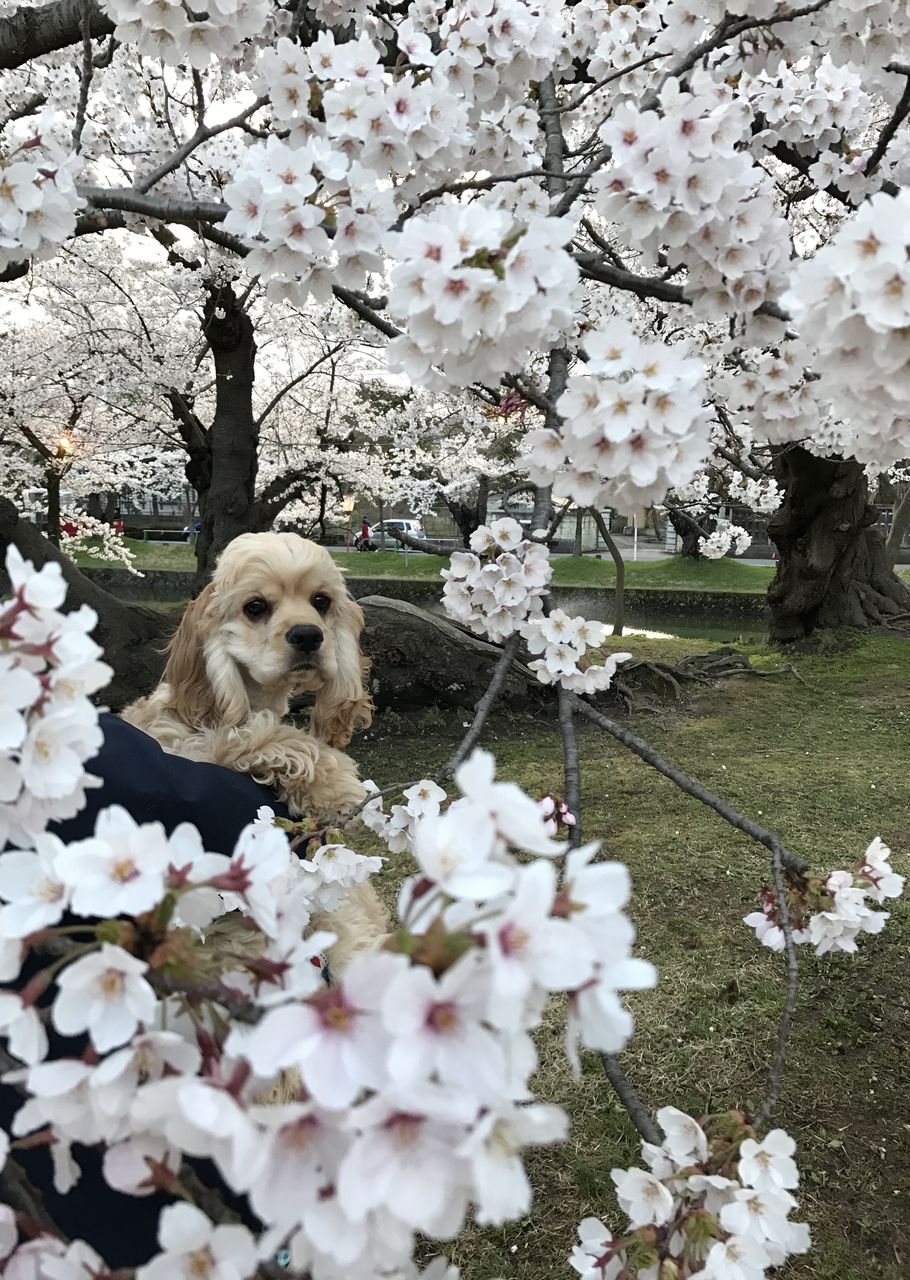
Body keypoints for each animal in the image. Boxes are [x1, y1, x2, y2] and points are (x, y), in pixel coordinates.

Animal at [122, 531, 388, 971]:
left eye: (321, 601)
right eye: (256, 607)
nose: (308, 635)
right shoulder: (191, 748)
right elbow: (256, 734)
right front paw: (338, 788)